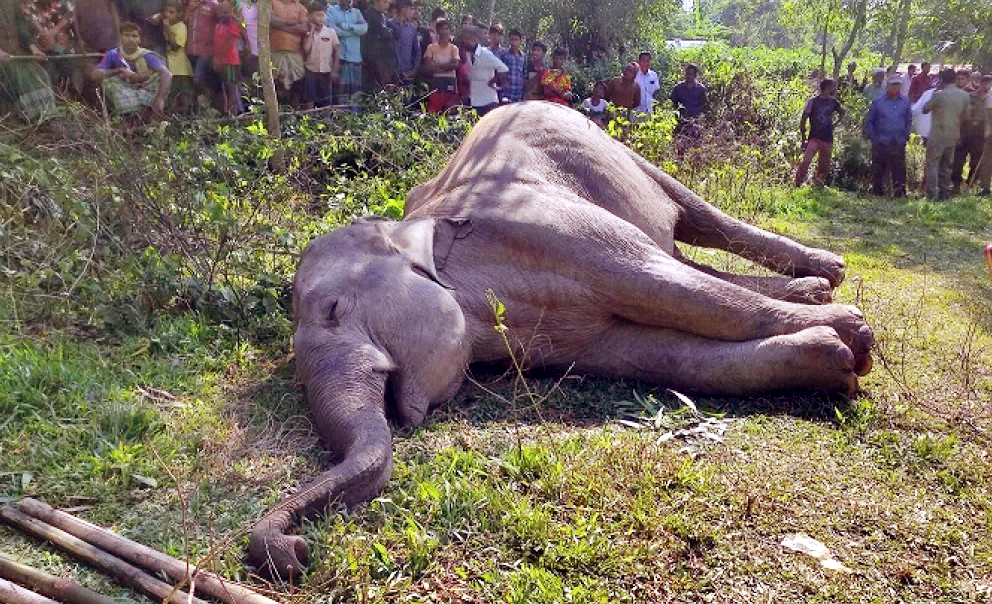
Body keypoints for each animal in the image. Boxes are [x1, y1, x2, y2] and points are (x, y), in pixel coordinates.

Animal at [250, 101, 876, 580]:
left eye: (334, 309)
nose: (291, 552)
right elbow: (662, 355)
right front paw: (835, 358)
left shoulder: (550, 227)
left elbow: (669, 288)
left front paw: (856, 335)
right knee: (683, 252)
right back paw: (814, 289)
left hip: (614, 149)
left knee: (695, 224)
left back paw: (829, 275)